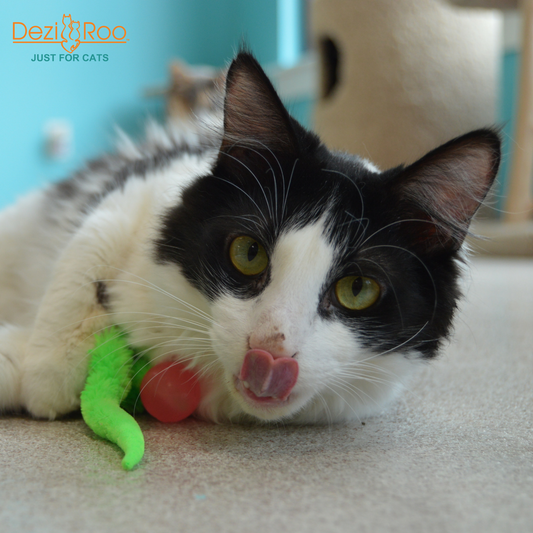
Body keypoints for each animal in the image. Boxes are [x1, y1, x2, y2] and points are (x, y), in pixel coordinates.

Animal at [0, 51, 498, 424]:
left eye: (357, 289)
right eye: (249, 253)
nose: (269, 355)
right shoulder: (135, 191)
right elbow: (82, 263)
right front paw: (47, 370)